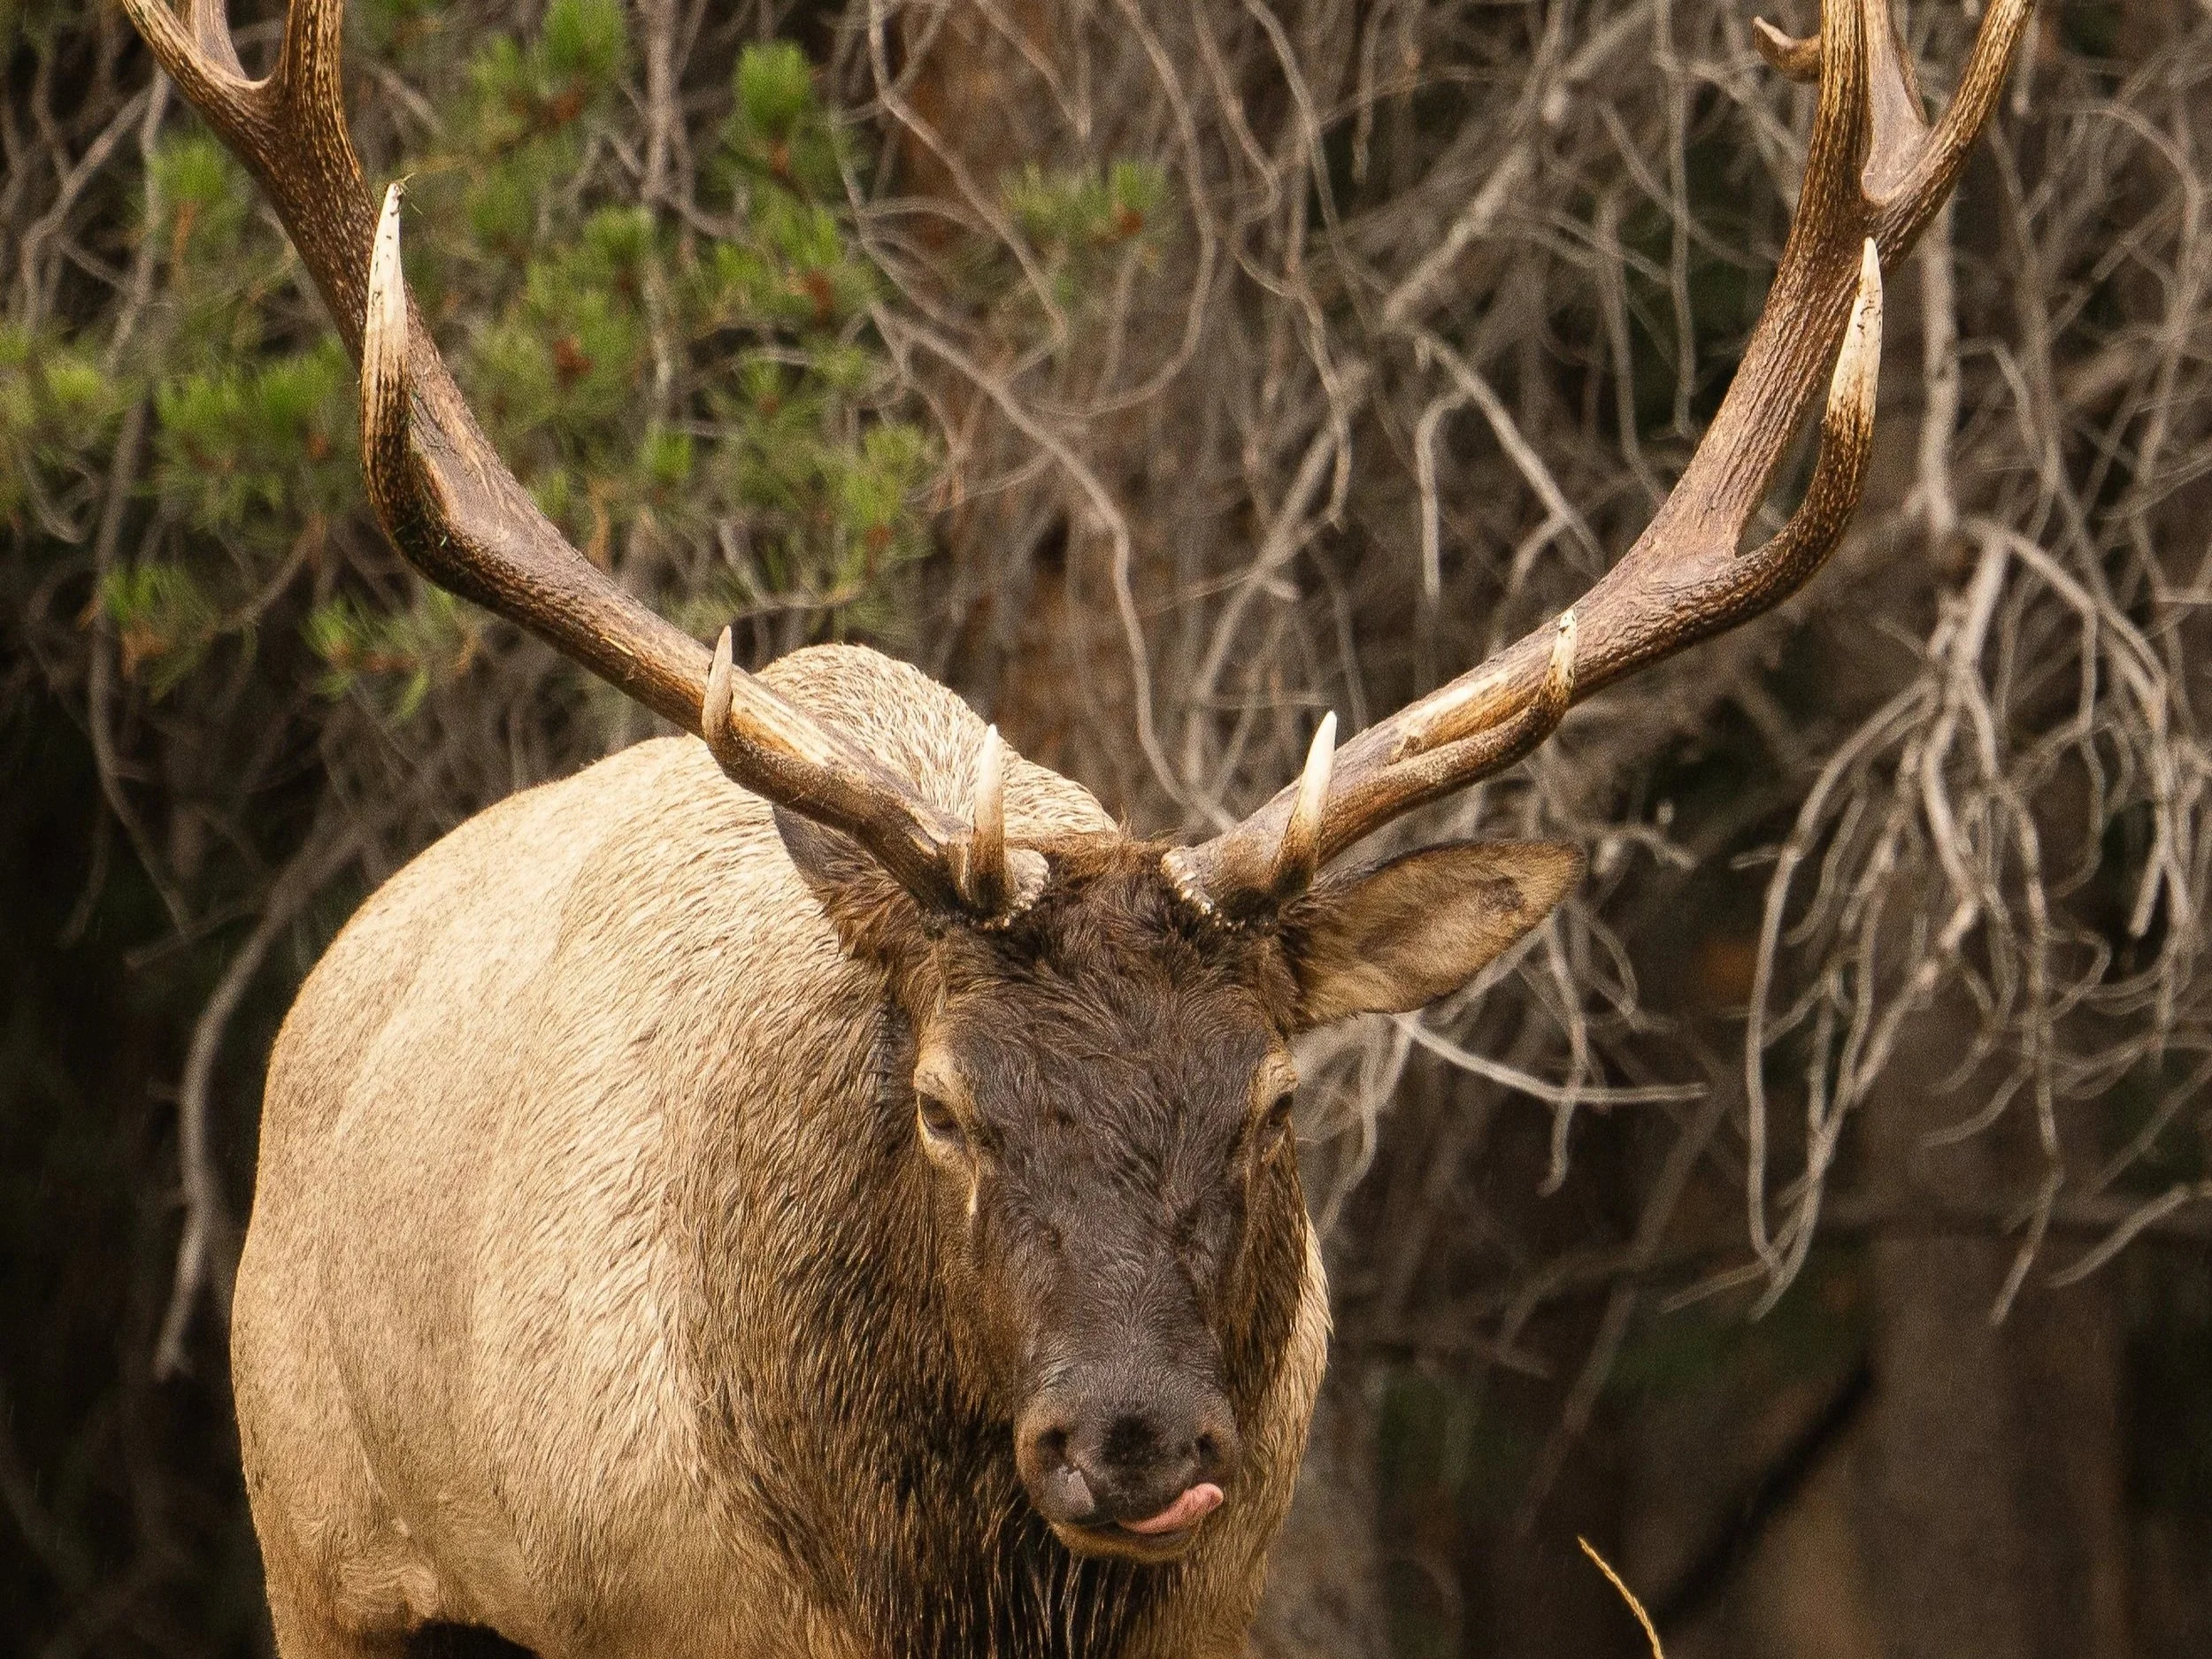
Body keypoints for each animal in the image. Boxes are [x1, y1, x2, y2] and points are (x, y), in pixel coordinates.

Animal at [116, 0, 2027, 1652]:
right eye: (944, 1105)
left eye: (1273, 1099)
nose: (1133, 1438)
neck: (923, 1596)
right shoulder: (640, 1605)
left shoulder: (1213, 1604)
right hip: (319, 1543)